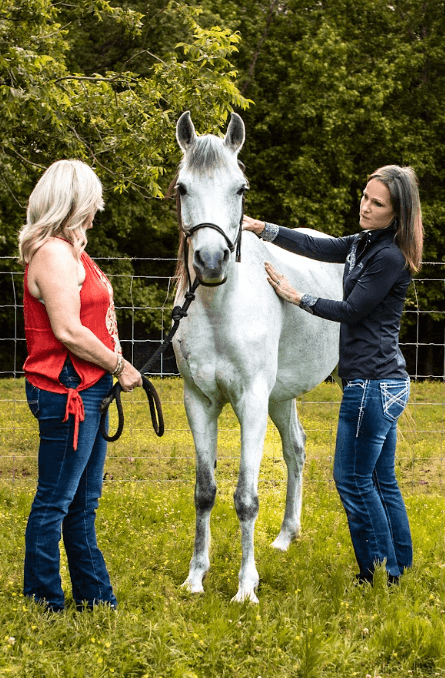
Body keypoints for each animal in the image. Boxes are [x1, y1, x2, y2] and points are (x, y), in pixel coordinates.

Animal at [172, 111, 344, 603]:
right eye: (182, 188)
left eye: (240, 188)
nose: (211, 260)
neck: (219, 312)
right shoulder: (198, 401)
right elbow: (205, 491)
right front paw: (196, 576)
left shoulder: (250, 401)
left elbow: (246, 498)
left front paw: (246, 587)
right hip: (281, 397)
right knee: (296, 448)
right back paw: (286, 535)